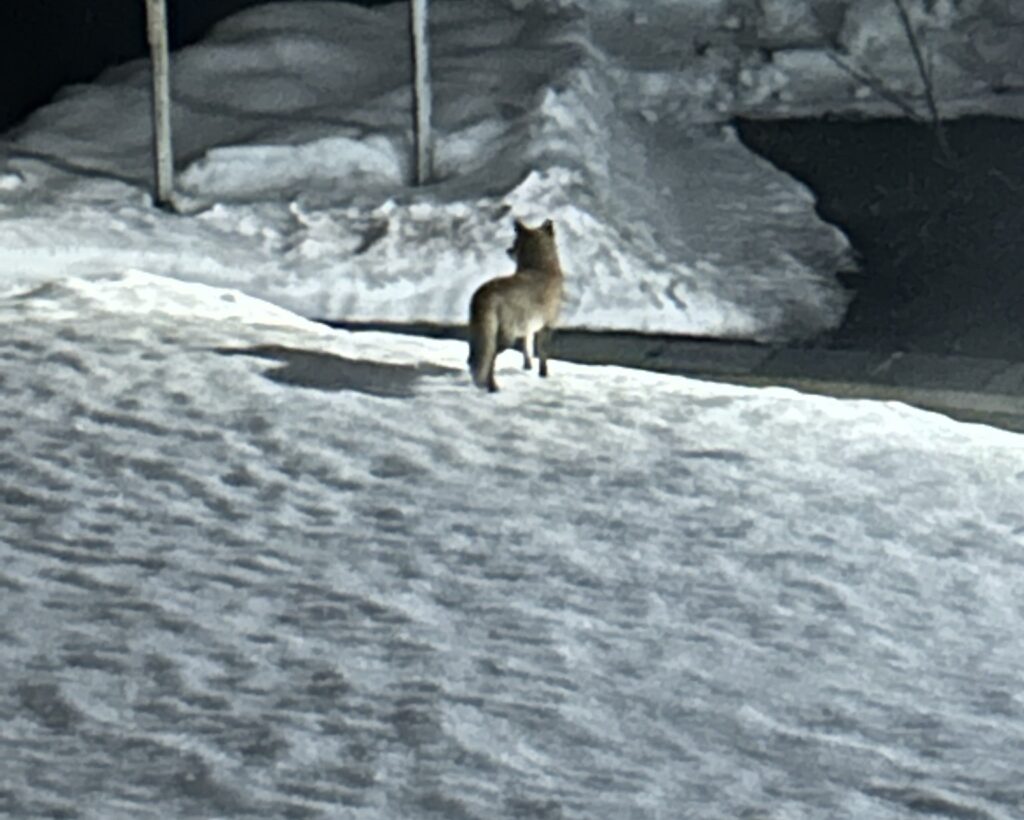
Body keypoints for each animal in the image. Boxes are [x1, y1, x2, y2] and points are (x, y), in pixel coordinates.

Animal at [466, 217, 565, 391]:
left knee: (473, 359)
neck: (541, 267)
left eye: (514, 242)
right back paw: (493, 388)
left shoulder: (528, 329)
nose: (508, 250)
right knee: (490, 359)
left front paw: (527, 369)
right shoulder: (546, 326)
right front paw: (543, 376)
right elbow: (543, 356)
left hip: (479, 333)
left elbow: (527, 351)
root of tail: (485, 293)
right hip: (506, 337)